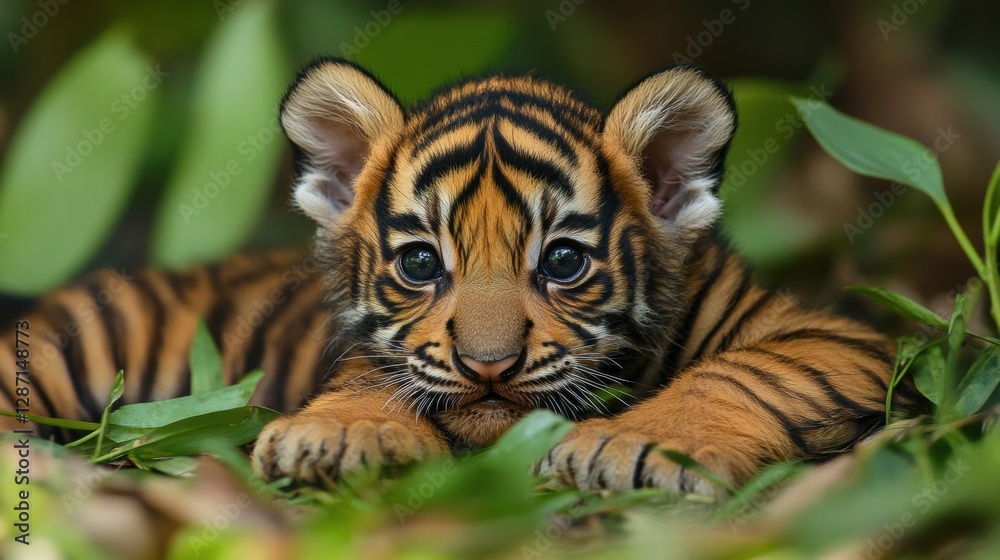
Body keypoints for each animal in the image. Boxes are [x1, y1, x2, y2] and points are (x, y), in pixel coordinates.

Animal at [0, 59, 924, 497]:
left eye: (563, 262)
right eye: (419, 264)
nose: (488, 366)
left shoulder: (830, 335)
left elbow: (745, 373)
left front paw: (635, 446)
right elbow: (373, 376)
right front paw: (336, 435)